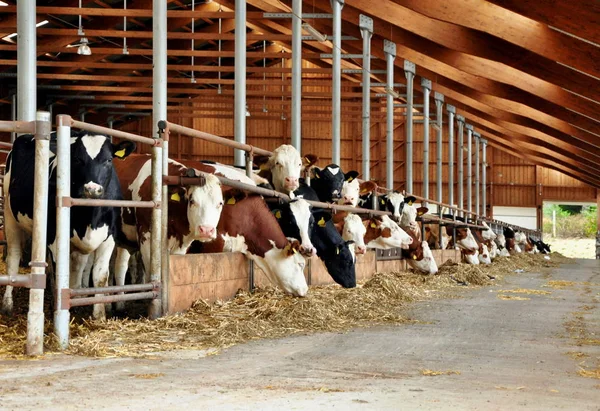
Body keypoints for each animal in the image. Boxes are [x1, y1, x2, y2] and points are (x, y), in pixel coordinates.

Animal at [2, 131, 135, 318]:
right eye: (77, 159)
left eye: (109, 159)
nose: (92, 189)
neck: (90, 217)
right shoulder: (56, 238)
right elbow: (60, 275)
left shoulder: (109, 238)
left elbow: (100, 275)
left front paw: (99, 315)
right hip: (10, 216)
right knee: (13, 259)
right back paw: (7, 304)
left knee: (77, 265)